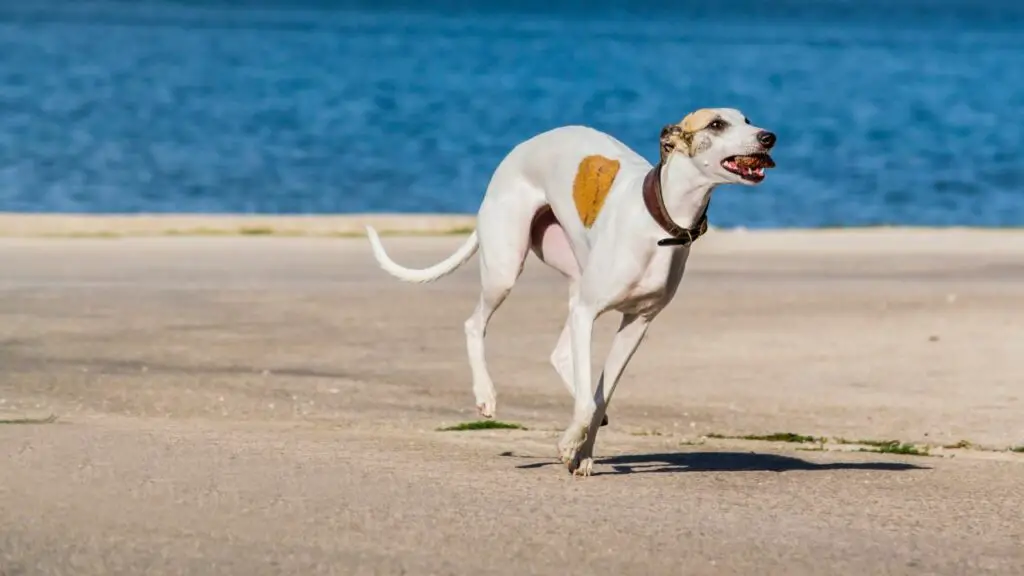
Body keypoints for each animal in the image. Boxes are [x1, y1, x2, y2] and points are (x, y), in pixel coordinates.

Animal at [364, 107, 770, 475]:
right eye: (716, 124)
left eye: (747, 120)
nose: (769, 137)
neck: (660, 220)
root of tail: (521, 148)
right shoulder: (589, 311)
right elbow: (590, 403)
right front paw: (567, 444)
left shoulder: (637, 323)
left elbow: (601, 398)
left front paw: (582, 453)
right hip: (505, 268)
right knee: (474, 323)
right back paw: (486, 395)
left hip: (573, 278)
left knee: (562, 357)